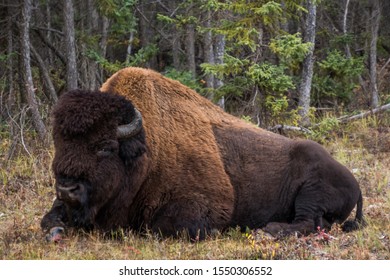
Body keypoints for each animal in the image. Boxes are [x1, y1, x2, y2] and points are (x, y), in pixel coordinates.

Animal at [41, 67, 364, 241]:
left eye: (106, 147)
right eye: (59, 142)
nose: (67, 188)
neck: (148, 151)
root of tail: (356, 183)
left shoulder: (204, 208)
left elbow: (164, 228)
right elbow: (49, 218)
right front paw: (55, 226)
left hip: (312, 190)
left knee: (310, 222)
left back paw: (267, 230)